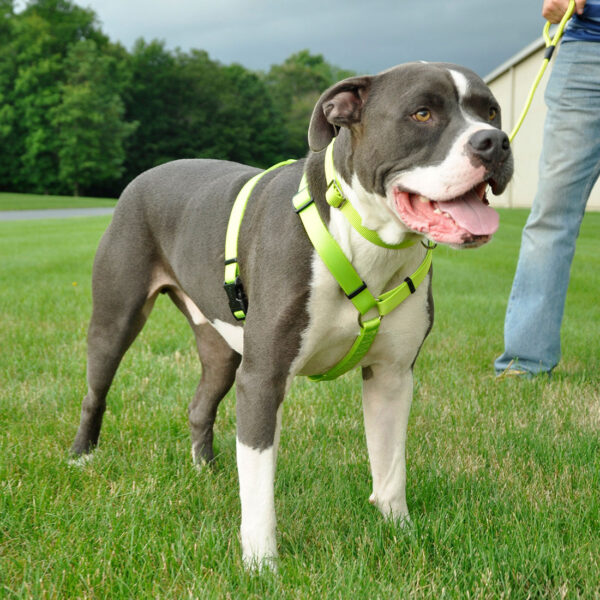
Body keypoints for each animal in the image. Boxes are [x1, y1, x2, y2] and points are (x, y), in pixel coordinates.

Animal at [69, 63, 510, 568]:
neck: (364, 237)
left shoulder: (392, 375)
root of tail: (144, 176)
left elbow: (390, 465)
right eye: (422, 113)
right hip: (116, 318)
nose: (496, 142)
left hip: (222, 349)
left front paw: (400, 532)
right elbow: (259, 485)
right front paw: (261, 565)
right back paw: (82, 456)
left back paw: (206, 471)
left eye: (491, 111)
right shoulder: (263, 377)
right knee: (96, 391)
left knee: (200, 405)